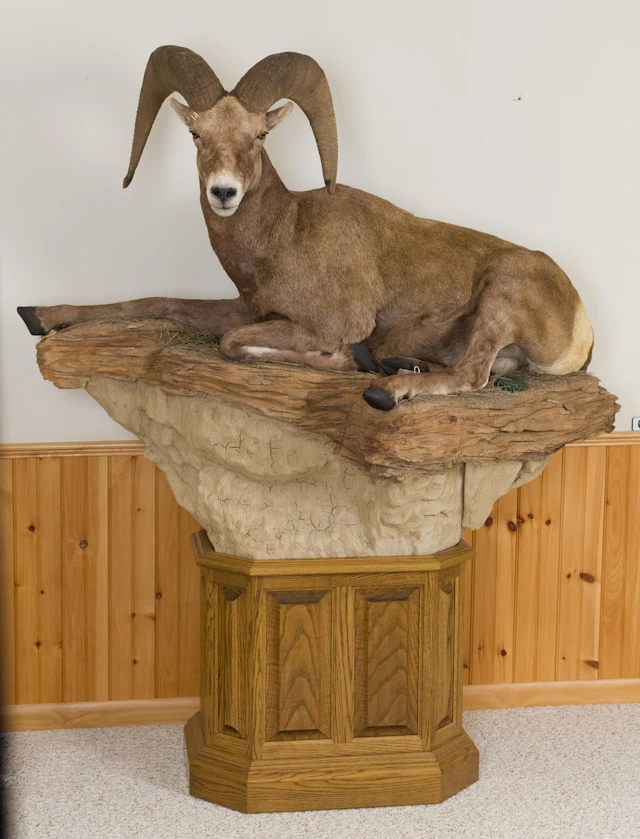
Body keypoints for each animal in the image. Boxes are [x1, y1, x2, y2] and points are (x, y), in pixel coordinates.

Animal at [18, 46, 594, 411]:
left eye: (258, 136)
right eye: (197, 134)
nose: (223, 193)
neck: (285, 234)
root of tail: (580, 325)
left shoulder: (319, 323)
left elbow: (233, 343)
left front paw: (351, 359)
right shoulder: (245, 307)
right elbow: (153, 302)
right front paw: (39, 316)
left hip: (501, 295)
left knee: (471, 376)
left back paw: (388, 387)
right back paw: (402, 365)